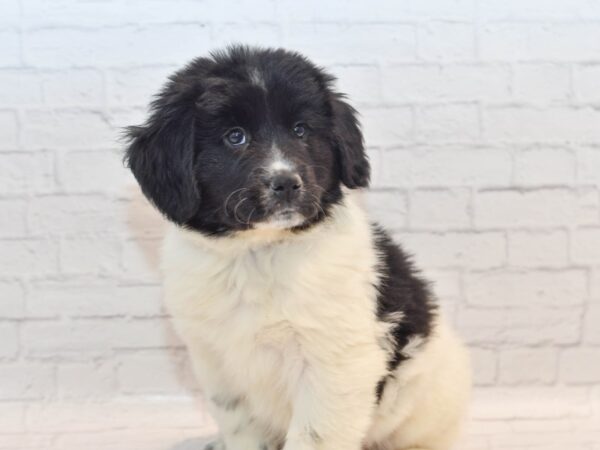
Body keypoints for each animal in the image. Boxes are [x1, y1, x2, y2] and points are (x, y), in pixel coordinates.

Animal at [124, 45, 472, 450]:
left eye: (300, 130)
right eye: (235, 136)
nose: (287, 183)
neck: (259, 254)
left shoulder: (336, 363)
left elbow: (314, 436)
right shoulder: (216, 361)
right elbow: (241, 427)